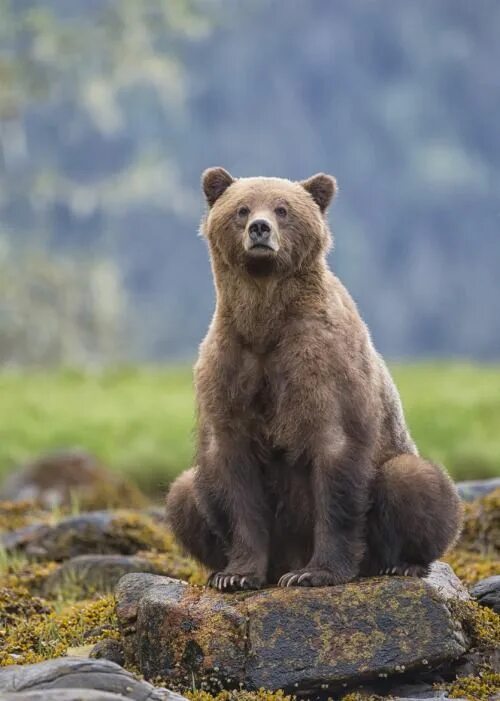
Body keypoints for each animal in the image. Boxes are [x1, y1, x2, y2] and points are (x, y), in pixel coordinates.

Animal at [166, 167, 462, 588]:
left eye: (282, 209)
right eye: (242, 209)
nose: (260, 229)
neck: (266, 323)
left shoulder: (321, 364)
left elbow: (334, 457)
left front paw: (314, 572)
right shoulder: (230, 368)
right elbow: (232, 473)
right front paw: (235, 575)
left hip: (398, 470)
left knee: (414, 481)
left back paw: (402, 563)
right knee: (183, 492)